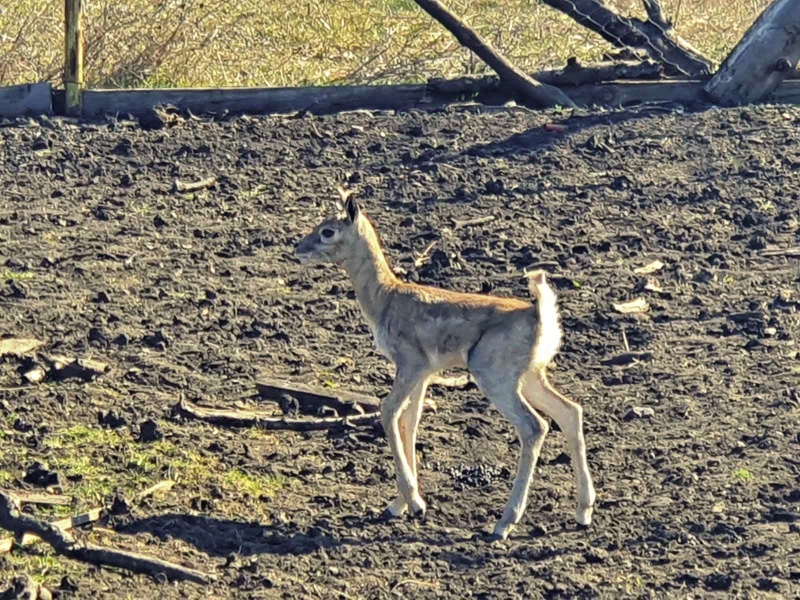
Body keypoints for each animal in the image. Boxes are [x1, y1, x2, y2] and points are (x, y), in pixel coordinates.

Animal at [294, 193, 592, 540]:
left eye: (327, 230)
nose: (298, 247)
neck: (385, 299)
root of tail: (539, 316)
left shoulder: (411, 363)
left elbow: (388, 410)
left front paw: (415, 504)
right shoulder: (424, 373)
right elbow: (410, 420)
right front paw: (399, 505)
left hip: (495, 377)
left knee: (535, 426)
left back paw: (503, 523)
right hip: (531, 376)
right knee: (570, 411)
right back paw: (583, 512)